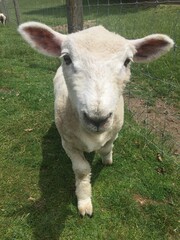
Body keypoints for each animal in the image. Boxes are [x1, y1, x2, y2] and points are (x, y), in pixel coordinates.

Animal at [17, 22, 174, 218]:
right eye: (67, 58)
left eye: (127, 61)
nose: (97, 118)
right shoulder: (68, 143)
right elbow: (82, 170)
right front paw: (84, 199)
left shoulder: (114, 131)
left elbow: (106, 147)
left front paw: (107, 160)